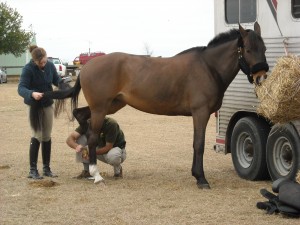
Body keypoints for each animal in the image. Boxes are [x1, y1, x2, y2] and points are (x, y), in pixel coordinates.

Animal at [45, 22, 270, 188]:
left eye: (264, 48)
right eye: (248, 49)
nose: (261, 77)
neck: (208, 67)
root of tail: (87, 66)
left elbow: (196, 143)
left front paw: (196, 175)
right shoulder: (201, 112)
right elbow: (198, 144)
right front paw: (201, 179)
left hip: (111, 105)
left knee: (80, 115)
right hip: (101, 108)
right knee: (92, 137)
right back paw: (96, 174)